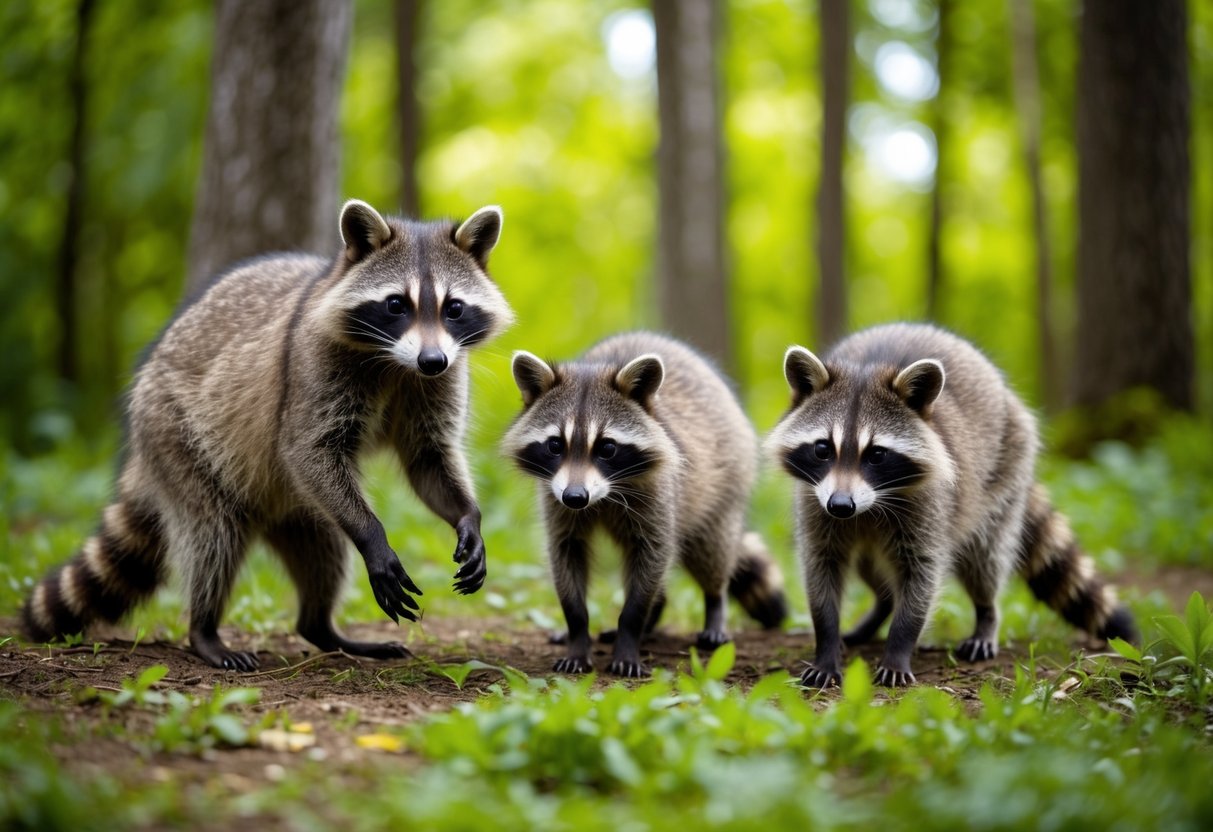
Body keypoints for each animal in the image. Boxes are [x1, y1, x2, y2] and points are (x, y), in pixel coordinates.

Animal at [22, 200, 513, 670]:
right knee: (212, 540)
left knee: (324, 550)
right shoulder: (314, 364)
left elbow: (428, 457)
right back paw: (203, 626)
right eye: (396, 304)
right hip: (174, 435)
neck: (396, 363)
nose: (432, 361)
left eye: (454, 307)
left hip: (297, 508)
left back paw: (322, 627)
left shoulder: (441, 377)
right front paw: (373, 536)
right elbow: (306, 448)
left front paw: (467, 516)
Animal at [503, 332, 787, 678]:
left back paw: (713, 605)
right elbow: (565, 556)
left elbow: (652, 560)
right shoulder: (556, 501)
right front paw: (577, 633)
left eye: (607, 448)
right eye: (555, 445)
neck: (604, 496)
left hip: (725, 485)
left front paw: (630, 632)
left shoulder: (659, 496)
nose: (575, 497)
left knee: (711, 552)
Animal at [767, 323, 1137, 688]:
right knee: (872, 571)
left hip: (1005, 471)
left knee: (984, 562)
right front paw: (827, 645)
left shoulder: (931, 507)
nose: (841, 505)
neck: (870, 507)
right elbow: (821, 572)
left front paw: (899, 646)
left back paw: (986, 615)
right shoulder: (815, 502)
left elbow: (922, 577)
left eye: (877, 454)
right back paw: (878, 610)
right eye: (822, 449)